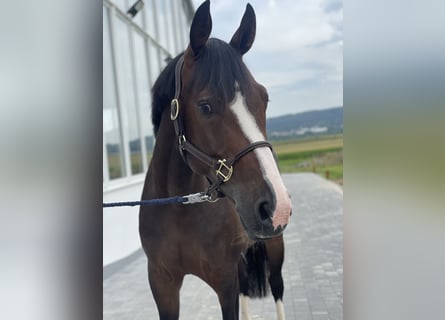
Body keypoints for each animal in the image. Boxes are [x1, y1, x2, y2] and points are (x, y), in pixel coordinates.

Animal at [140, 1, 292, 318]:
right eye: (205, 106)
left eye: (264, 98)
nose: (276, 206)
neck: (179, 209)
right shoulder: (162, 283)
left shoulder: (224, 281)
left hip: (275, 246)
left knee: (277, 287)